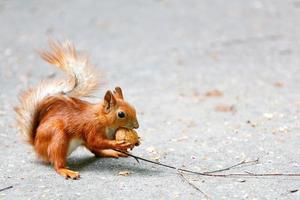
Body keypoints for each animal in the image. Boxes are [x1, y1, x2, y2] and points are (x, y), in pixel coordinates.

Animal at [14, 41, 139, 180]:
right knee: (58, 161)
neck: (102, 118)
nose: (136, 126)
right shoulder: (92, 127)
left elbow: (97, 144)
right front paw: (118, 145)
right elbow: (96, 141)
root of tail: (36, 144)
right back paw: (66, 170)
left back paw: (109, 152)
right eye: (121, 114)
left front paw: (134, 142)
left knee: (95, 151)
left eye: (133, 107)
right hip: (58, 138)